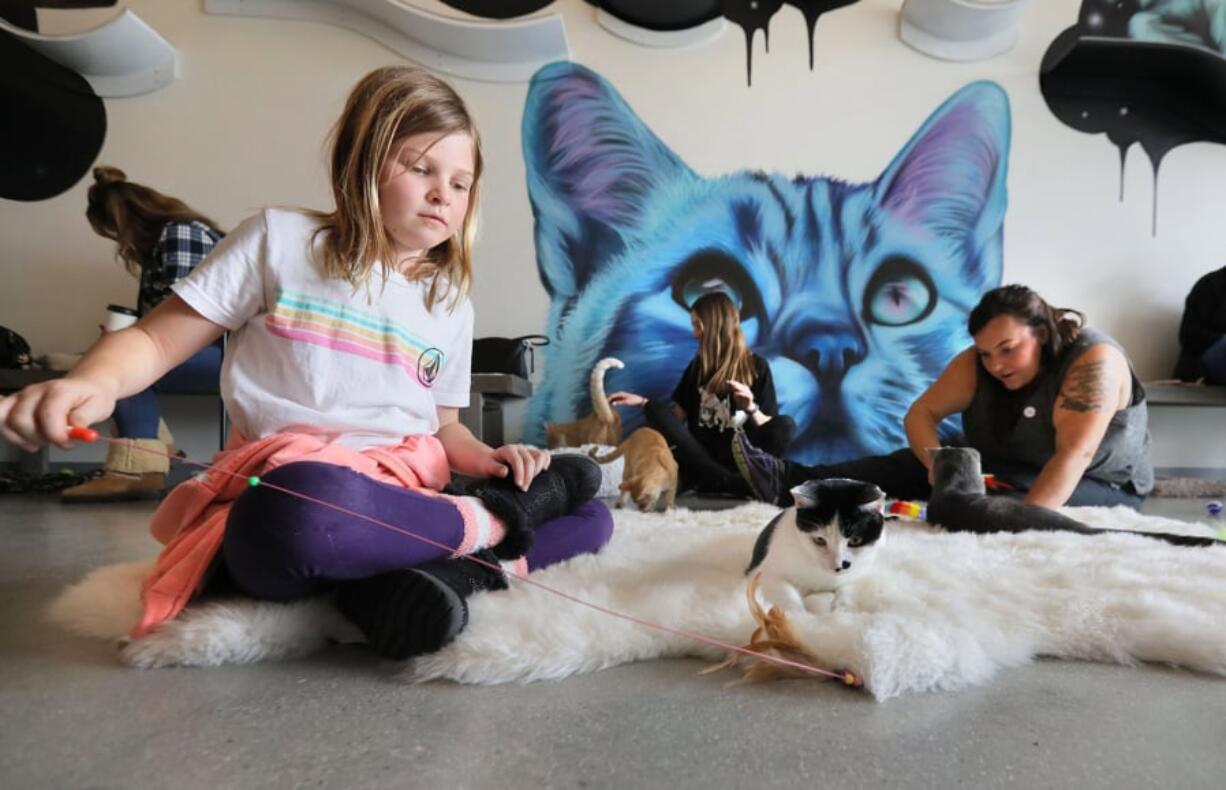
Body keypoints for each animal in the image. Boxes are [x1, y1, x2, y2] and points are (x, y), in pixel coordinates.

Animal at [740, 475, 887, 610]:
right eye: (819, 540)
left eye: (855, 540)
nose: (838, 566)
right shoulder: (765, 572)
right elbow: (785, 593)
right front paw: (800, 617)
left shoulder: (863, 569)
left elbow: (849, 586)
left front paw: (841, 608)